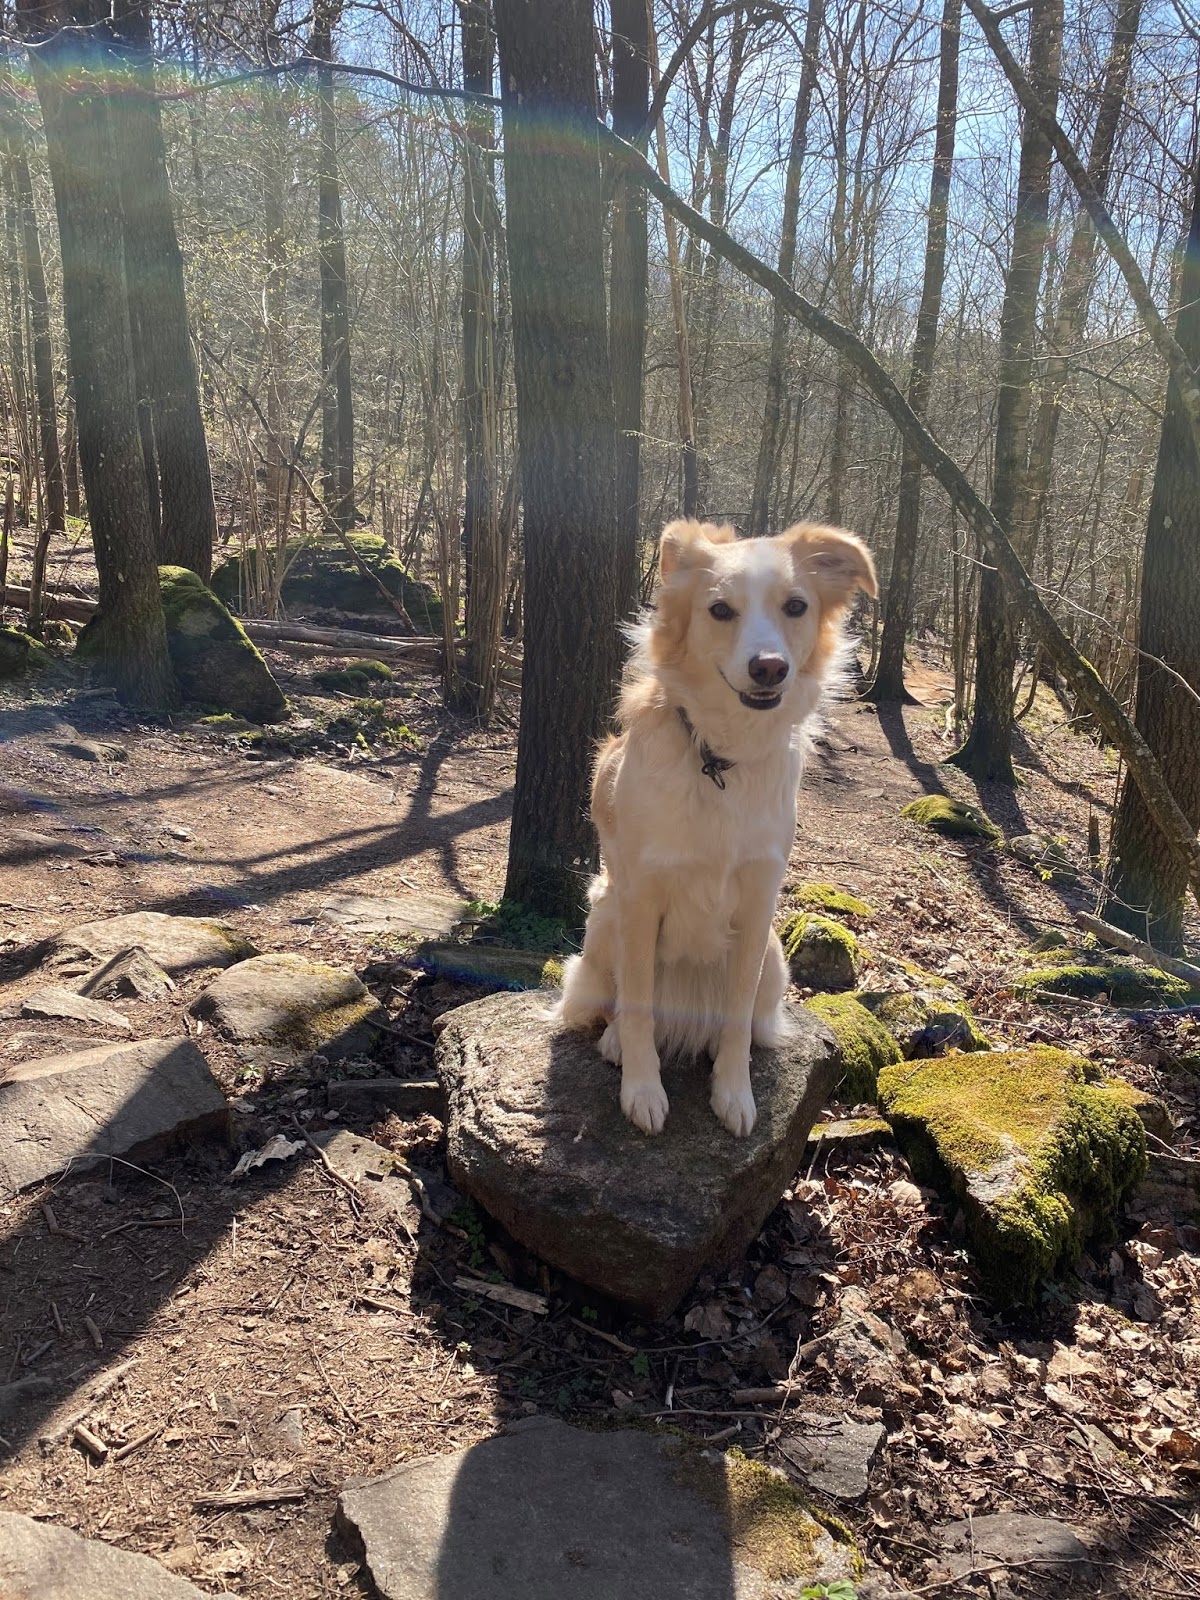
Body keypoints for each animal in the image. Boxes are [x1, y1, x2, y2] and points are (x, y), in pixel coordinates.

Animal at [555, 517, 877, 1138]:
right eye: (720, 610)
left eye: (796, 606)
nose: (769, 667)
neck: (721, 756)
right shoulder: (640, 896)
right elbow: (637, 1004)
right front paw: (643, 1089)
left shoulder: (758, 900)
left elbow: (735, 1018)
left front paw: (733, 1092)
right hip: (605, 917)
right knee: (621, 1000)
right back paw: (616, 1041)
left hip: (774, 957)